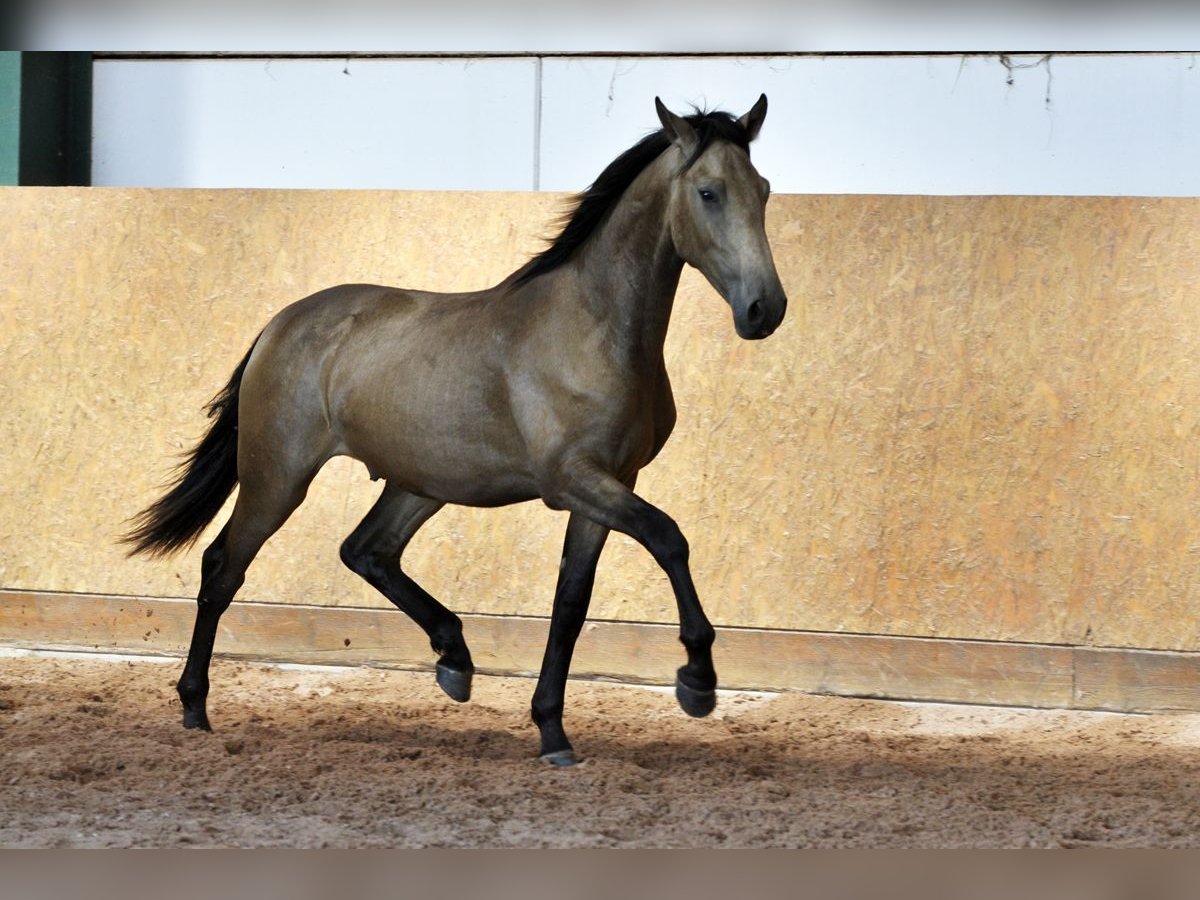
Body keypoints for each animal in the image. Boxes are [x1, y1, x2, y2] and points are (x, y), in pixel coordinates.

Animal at [124, 95, 787, 765]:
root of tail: (278, 325)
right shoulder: (573, 481)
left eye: (762, 190)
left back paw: (455, 658)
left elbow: (572, 600)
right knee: (223, 568)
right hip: (278, 477)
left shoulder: (611, 483)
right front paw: (697, 680)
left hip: (420, 482)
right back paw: (195, 707)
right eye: (708, 192)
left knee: (367, 550)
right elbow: (668, 538)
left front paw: (552, 731)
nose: (765, 310)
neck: (594, 329)